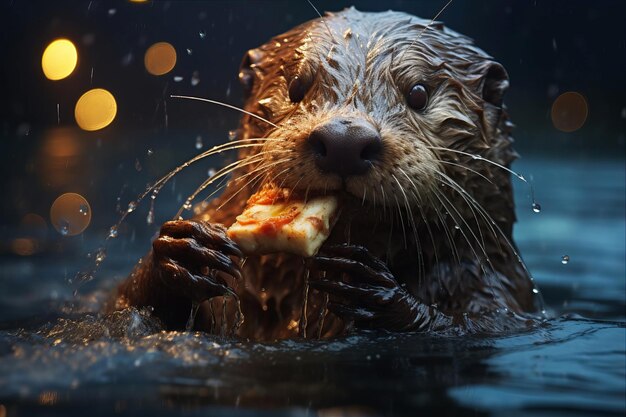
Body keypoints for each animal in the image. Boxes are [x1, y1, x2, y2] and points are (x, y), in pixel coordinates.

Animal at [111, 8, 540, 340]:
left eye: (418, 92)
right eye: (296, 86)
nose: (345, 139)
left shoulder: (497, 293)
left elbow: (467, 325)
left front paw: (371, 290)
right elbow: (118, 306)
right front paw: (185, 250)